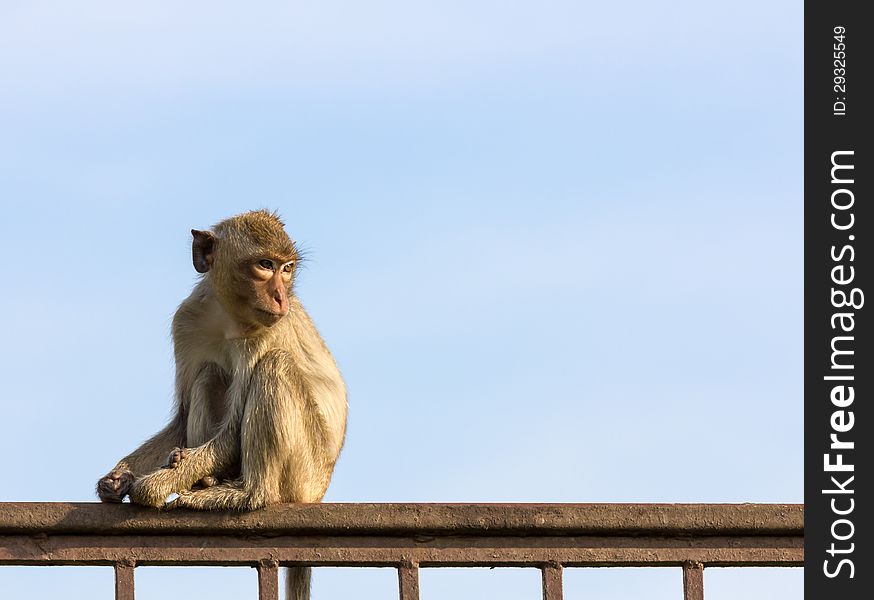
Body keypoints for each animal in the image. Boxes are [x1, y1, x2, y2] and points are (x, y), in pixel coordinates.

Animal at [96, 211, 348, 600]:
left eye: (287, 268)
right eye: (265, 265)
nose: (281, 299)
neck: (227, 315)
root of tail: (318, 495)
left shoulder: (263, 333)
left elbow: (230, 433)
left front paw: (149, 488)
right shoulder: (187, 320)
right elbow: (182, 419)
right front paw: (117, 478)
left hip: (304, 472)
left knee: (275, 366)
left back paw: (245, 493)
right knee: (209, 373)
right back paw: (206, 478)